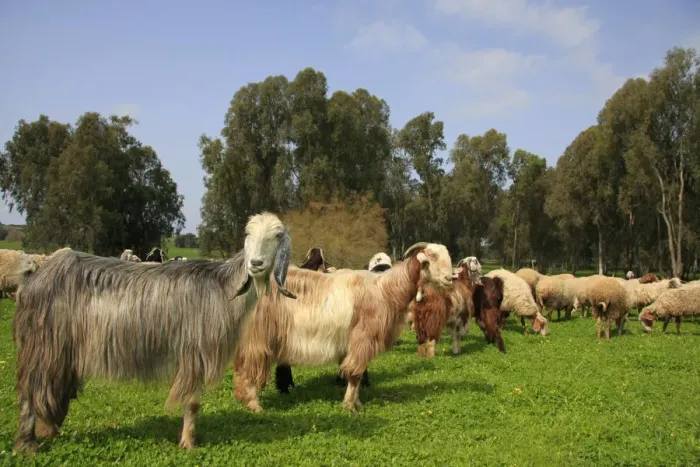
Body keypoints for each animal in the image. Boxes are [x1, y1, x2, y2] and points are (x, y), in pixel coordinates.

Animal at [12, 212, 296, 453]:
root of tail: (32, 278)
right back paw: (27, 445)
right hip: (42, 345)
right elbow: (192, 402)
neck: (221, 287)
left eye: (277, 235)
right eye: (248, 234)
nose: (255, 263)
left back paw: (48, 430)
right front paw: (188, 443)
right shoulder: (194, 351)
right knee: (29, 391)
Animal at [233, 242, 456, 413]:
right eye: (429, 259)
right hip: (257, 336)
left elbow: (357, 371)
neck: (385, 290)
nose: (449, 279)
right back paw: (254, 405)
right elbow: (355, 373)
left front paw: (356, 402)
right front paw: (350, 406)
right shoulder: (362, 338)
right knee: (250, 366)